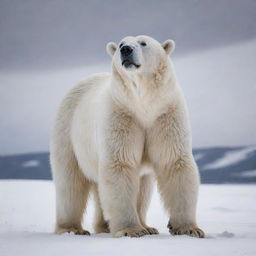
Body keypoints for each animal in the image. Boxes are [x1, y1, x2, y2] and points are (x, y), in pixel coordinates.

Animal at [51, 35, 205, 238]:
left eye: (143, 42)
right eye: (121, 44)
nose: (126, 50)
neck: (143, 105)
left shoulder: (165, 115)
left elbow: (173, 161)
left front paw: (189, 229)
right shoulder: (122, 115)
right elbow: (120, 164)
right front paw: (131, 230)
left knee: (142, 186)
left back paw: (139, 226)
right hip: (68, 132)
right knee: (69, 183)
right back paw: (72, 228)